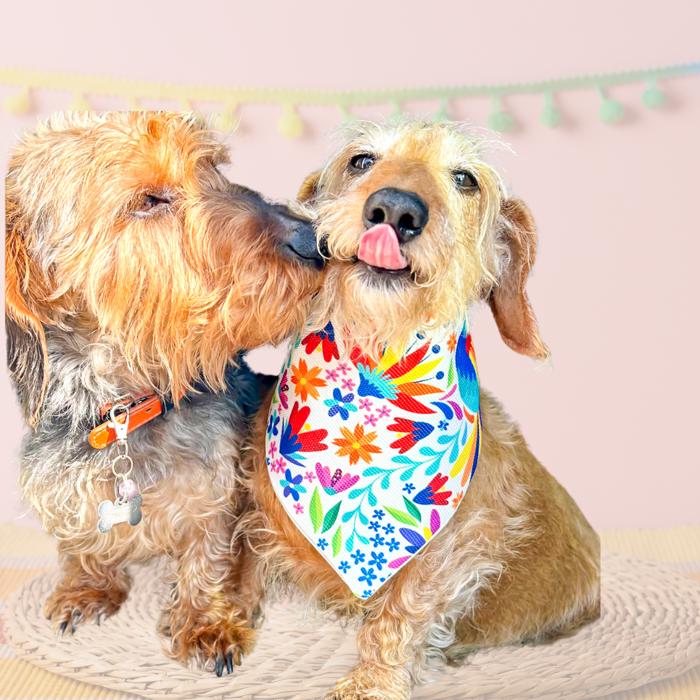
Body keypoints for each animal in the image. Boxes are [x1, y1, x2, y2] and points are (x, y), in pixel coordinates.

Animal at [6, 113, 322, 672]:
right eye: (150, 200)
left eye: (212, 166)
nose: (312, 236)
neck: (123, 412)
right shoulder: (61, 485)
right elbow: (79, 541)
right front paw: (87, 587)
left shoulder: (218, 489)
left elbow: (208, 552)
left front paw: (206, 623)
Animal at [237, 123, 600, 696]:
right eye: (362, 160)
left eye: (465, 179)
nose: (396, 209)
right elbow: (244, 562)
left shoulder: (449, 552)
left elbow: (403, 610)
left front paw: (372, 681)